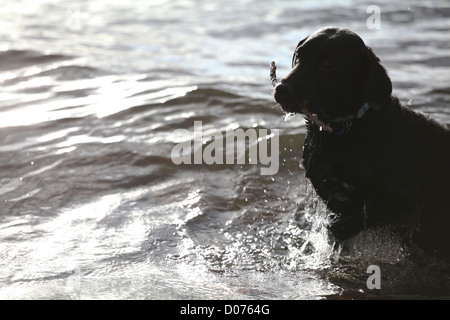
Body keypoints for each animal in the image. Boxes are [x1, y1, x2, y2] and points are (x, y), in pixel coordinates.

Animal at [272, 27, 450, 262]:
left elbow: (350, 221)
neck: (342, 132)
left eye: (329, 64)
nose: (281, 89)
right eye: (299, 55)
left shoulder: (408, 197)